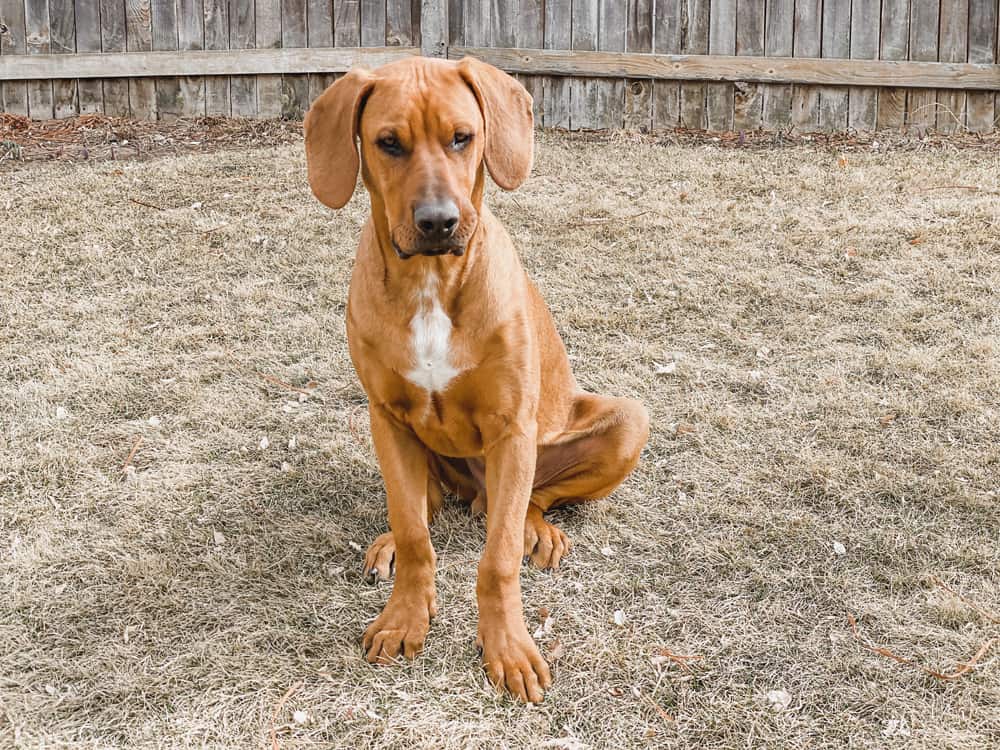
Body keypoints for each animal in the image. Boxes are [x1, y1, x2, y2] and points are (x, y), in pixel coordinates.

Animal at [304, 55, 648, 704]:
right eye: (388, 143)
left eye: (462, 137)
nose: (438, 222)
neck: (432, 283)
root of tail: (476, 494)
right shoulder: (386, 417)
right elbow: (415, 532)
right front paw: (405, 615)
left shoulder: (511, 428)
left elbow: (499, 560)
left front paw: (507, 647)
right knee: (426, 506)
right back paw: (392, 541)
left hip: (622, 424)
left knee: (529, 500)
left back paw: (540, 530)